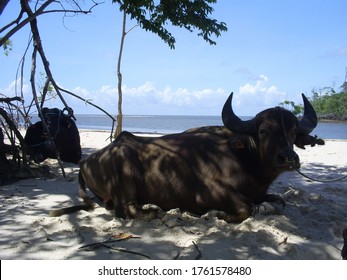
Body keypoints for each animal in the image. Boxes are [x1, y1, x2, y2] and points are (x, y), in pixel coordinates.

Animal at [50, 93, 324, 222]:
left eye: (293, 131)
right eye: (263, 130)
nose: (288, 157)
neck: (245, 160)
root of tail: (86, 161)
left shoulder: (260, 192)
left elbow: (278, 201)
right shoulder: (209, 192)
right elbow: (246, 207)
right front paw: (219, 215)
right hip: (125, 172)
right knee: (126, 209)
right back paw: (153, 211)